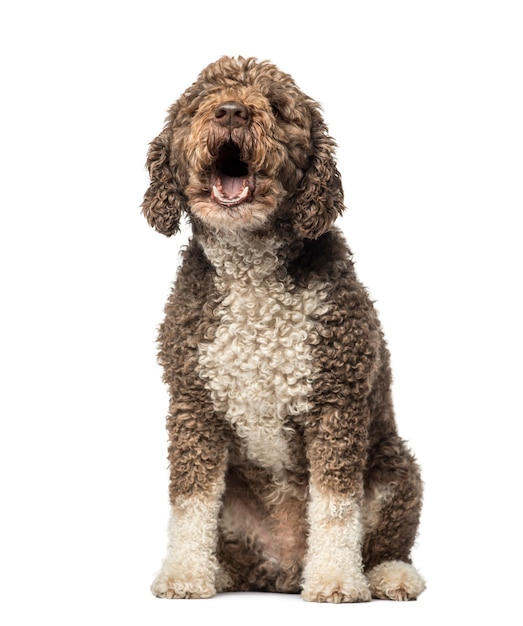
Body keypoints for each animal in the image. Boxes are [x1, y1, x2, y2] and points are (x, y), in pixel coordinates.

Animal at [143, 54, 426, 600]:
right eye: (199, 101)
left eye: (276, 107)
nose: (232, 112)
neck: (252, 272)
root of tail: (287, 569)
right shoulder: (193, 404)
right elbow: (190, 501)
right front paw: (185, 573)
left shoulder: (337, 402)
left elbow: (336, 505)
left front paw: (337, 579)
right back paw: (221, 572)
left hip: (396, 468)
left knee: (386, 539)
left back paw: (386, 574)